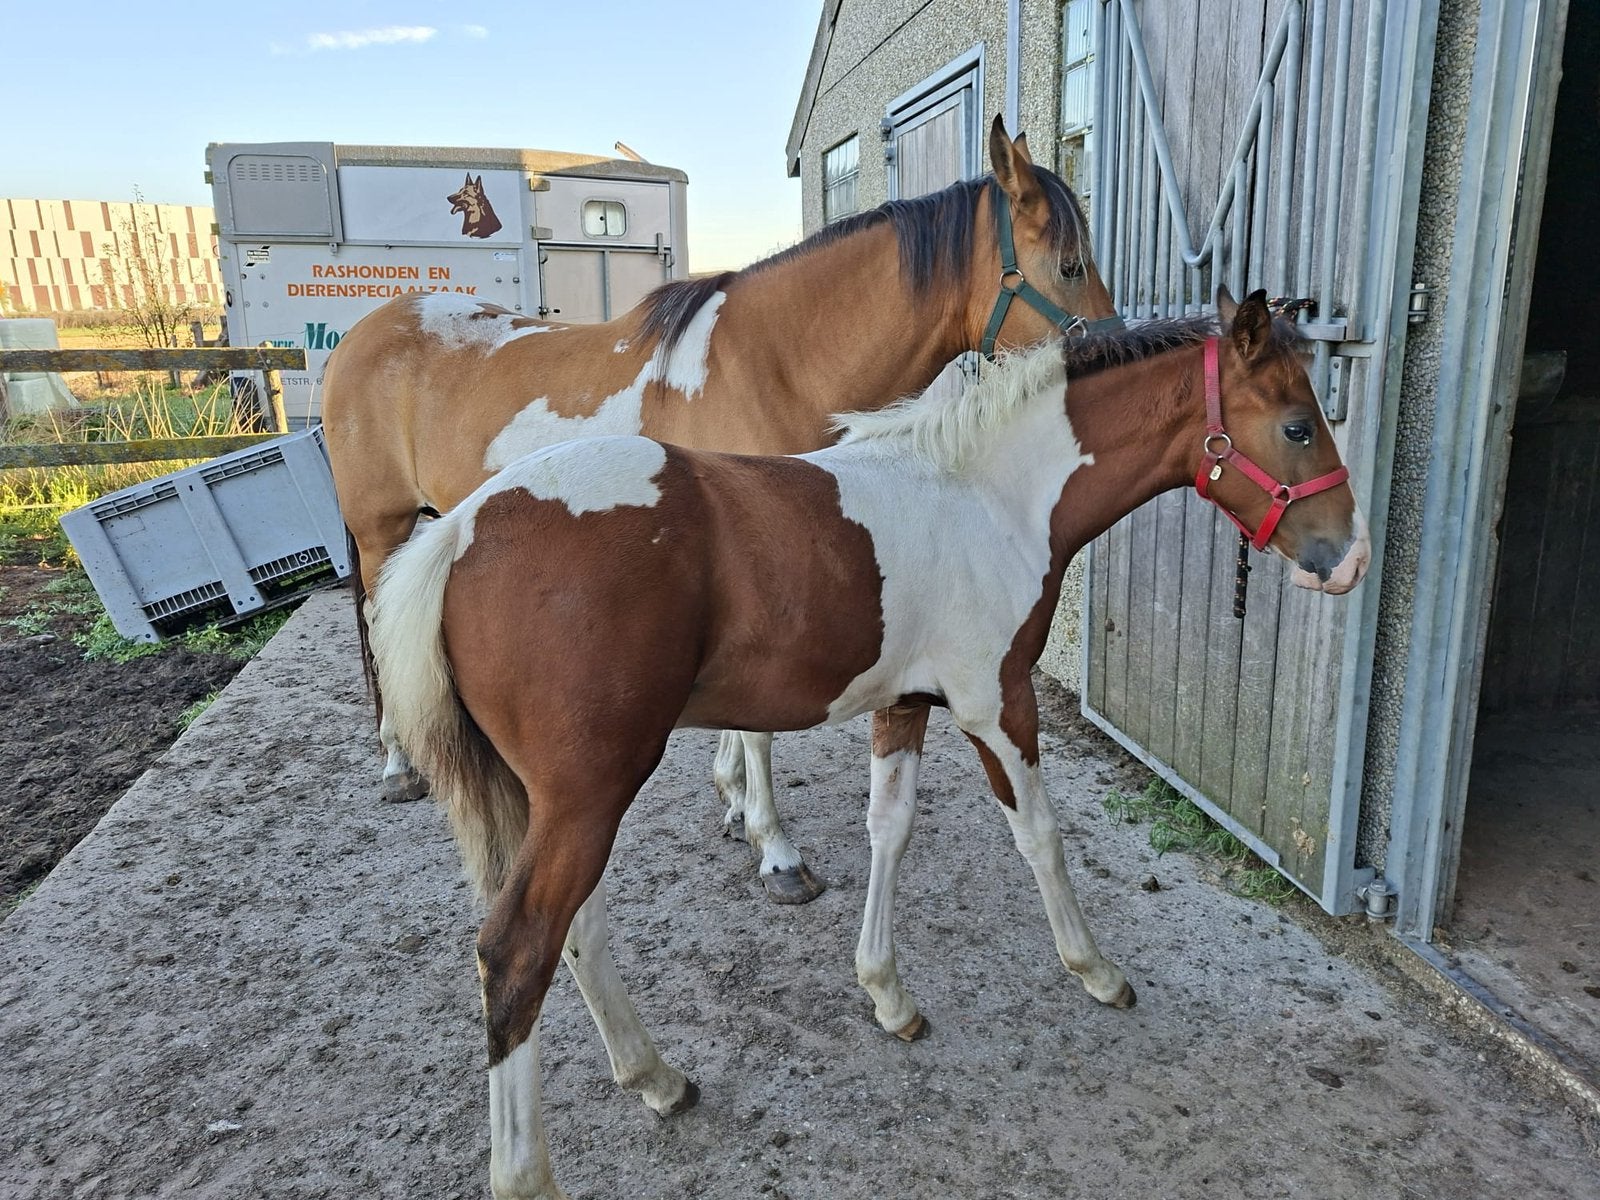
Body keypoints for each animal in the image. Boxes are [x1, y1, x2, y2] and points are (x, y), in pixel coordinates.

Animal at [322, 117, 1120, 904]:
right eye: (1069, 265)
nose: (1113, 350)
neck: (776, 365)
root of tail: (362, 333)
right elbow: (761, 729)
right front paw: (777, 850)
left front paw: (734, 803)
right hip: (383, 529)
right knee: (375, 620)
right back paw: (397, 764)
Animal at [366, 288, 1371, 1199]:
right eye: (1296, 426)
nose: (1350, 559)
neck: (987, 495)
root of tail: (462, 532)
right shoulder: (997, 704)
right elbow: (1040, 838)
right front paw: (1096, 971)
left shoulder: (907, 705)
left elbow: (890, 829)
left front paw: (887, 994)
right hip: (589, 792)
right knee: (518, 950)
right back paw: (532, 1171)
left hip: (552, 798)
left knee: (574, 931)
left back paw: (656, 1078)